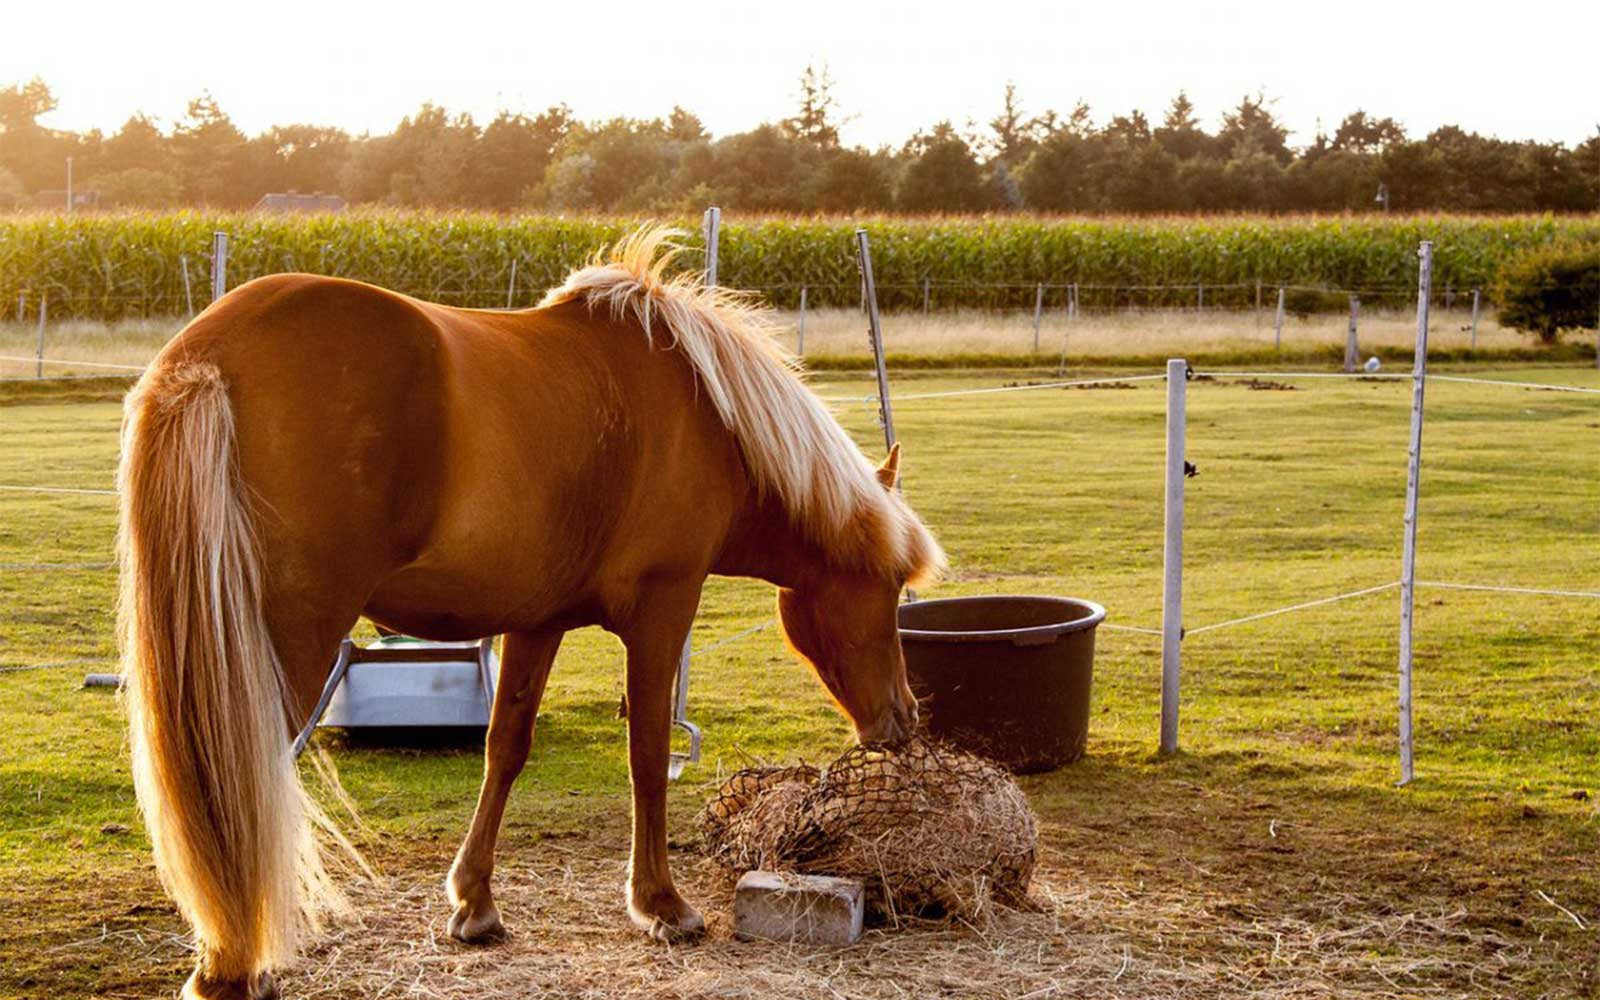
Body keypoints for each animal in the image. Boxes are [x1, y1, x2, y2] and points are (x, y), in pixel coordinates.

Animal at [117, 227, 944, 1000]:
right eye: (891, 584)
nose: (903, 720)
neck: (705, 415)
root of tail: (205, 353)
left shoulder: (537, 622)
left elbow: (505, 748)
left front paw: (475, 904)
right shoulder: (663, 608)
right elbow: (648, 752)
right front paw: (662, 905)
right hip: (287, 645)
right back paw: (232, 967)